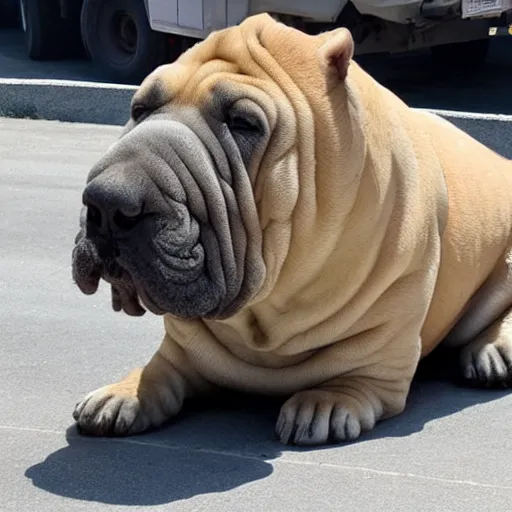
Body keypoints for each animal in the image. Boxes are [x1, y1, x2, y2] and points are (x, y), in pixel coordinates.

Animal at [71, 11, 512, 444]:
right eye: (140, 108)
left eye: (243, 123)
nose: (108, 203)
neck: (265, 309)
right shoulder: (183, 343)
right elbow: (163, 366)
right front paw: (124, 391)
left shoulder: (391, 314)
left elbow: (359, 367)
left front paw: (326, 401)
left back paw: (493, 352)